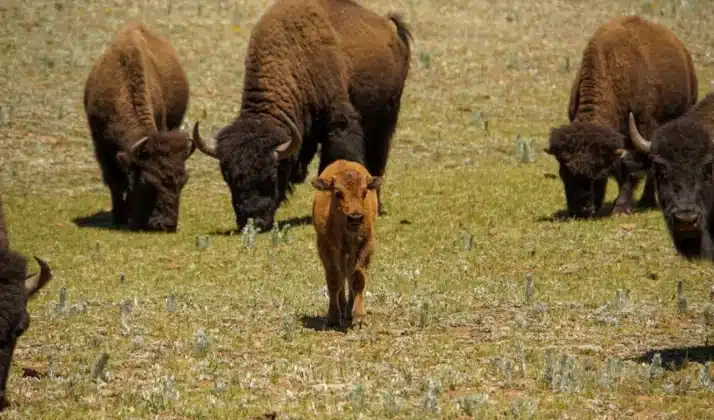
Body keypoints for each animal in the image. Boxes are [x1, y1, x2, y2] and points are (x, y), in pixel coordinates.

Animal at [83, 22, 195, 232]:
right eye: (147, 183)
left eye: (184, 181)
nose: (166, 224)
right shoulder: (102, 149)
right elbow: (115, 183)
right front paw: (119, 218)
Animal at [192, 0, 412, 231]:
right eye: (228, 177)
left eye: (272, 173)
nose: (253, 222)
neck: (295, 58)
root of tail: (391, 29)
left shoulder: (339, 124)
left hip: (385, 120)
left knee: (378, 160)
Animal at [544, 16, 697, 218]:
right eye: (563, 172)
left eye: (599, 173)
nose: (581, 211)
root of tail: (683, 52)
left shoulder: (642, 131)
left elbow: (630, 168)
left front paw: (621, 208)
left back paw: (647, 201)